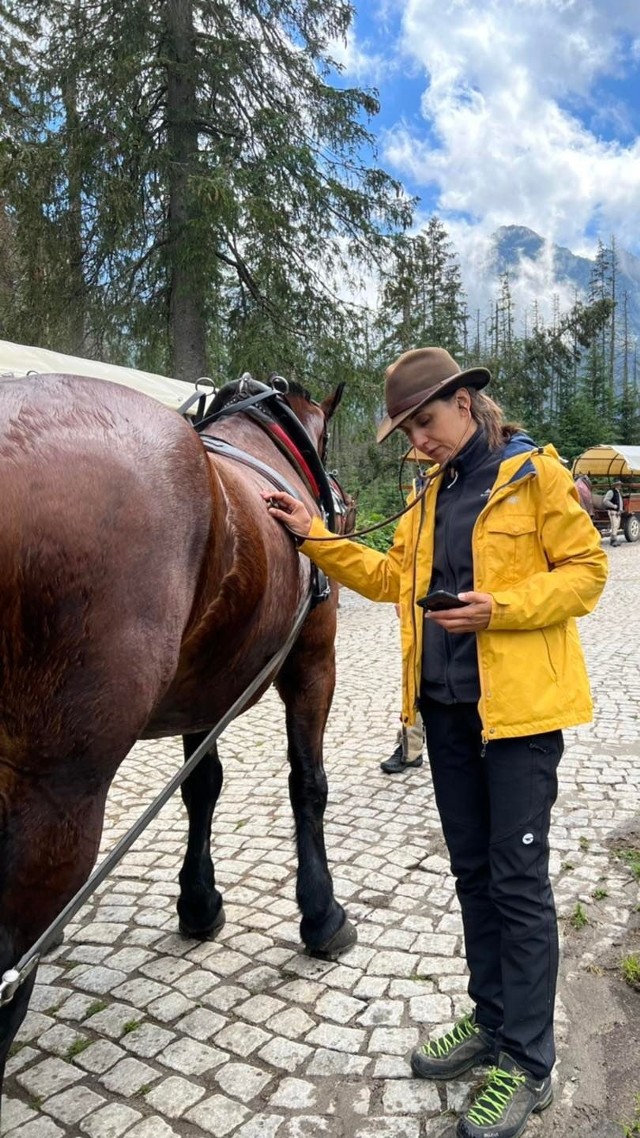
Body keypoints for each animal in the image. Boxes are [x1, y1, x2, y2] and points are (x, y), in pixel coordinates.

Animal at [0, 370, 353, 1101]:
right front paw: (321, 913)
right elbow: (307, 783)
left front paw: (198, 902)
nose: (342, 503)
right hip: (56, 795)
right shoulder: (312, 658)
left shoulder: (205, 691)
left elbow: (202, 790)